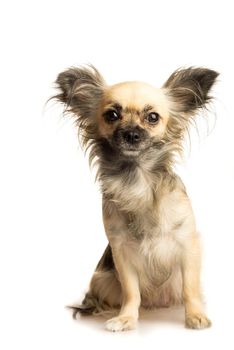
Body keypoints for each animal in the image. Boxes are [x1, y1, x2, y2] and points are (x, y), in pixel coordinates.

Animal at [52, 65, 218, 330]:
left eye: (153, 117)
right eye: (112, 115)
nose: (131, 134)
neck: (137, 179)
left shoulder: (188, 244)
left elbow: (190, 288)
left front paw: (195, 315)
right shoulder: (121, 252)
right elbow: (131, 292)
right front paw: (127, 318)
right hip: (101, 278)